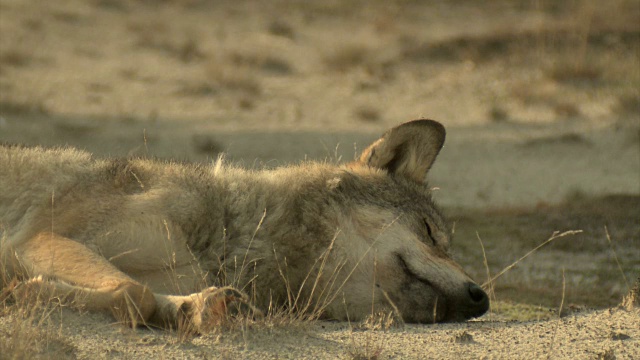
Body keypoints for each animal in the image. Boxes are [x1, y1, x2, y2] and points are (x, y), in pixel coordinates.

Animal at [1, 119, 490, 330]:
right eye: (430, 233)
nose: (481, 298)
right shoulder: (38, 237)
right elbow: (133, 293)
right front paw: (19, 293)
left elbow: (146, 299)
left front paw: (198, 308)